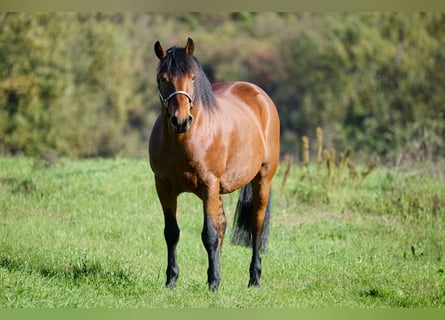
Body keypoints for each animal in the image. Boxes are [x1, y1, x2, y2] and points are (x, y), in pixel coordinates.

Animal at [149, 37, 280, 290]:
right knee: (222, 225)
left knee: (256, 226)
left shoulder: (209, 185)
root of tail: (259, 95)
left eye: (192, 77)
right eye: (162, 79)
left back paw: (254, 279)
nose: (180, 120)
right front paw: (172, 280)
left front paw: (212, 284)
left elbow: (209, 234)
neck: (183, 141)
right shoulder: (164, 187)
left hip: (262, 181)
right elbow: (172, 232)